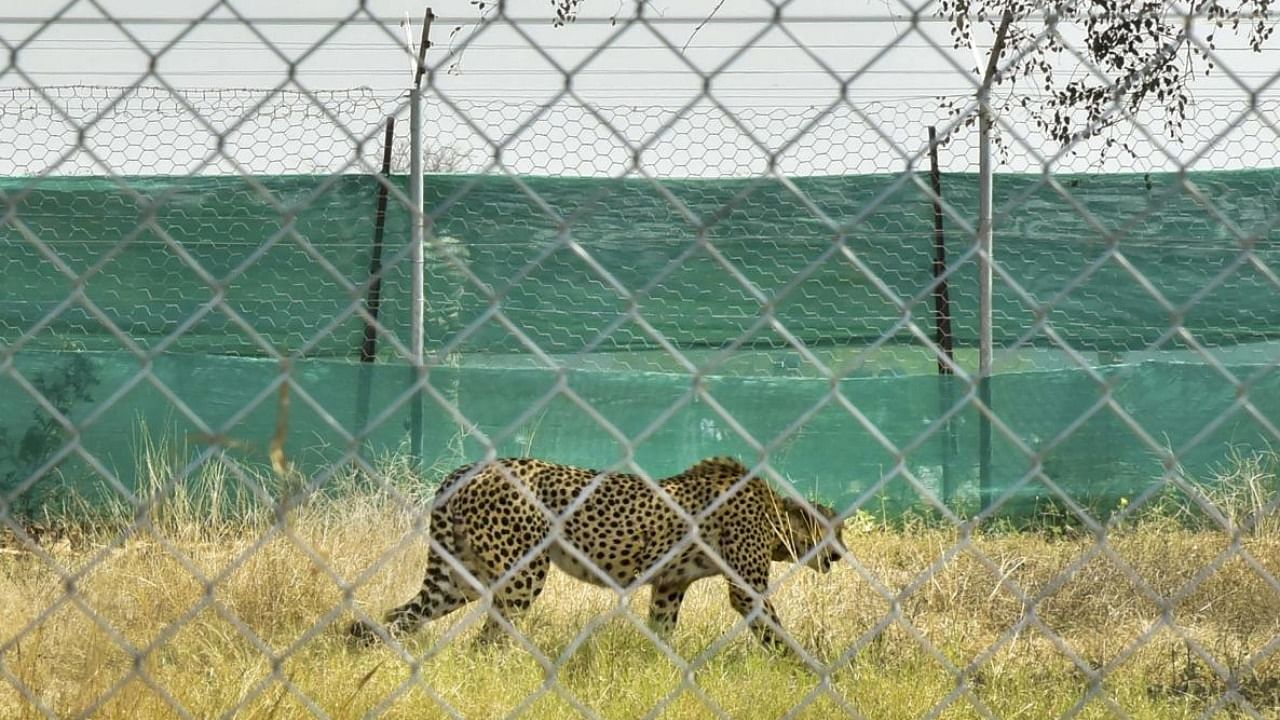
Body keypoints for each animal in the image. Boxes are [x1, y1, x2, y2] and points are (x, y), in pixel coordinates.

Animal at [353, 456, 849, 648]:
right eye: (835, 532)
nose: (843, 555)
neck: (775, 513)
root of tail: (474, 467)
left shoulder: (669, 584)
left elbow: (662, 632)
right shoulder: (747, 591)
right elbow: (776, 632)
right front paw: (807, 669)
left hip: (460, 578)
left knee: (401, 615)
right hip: (521, 576)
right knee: (489, 638)